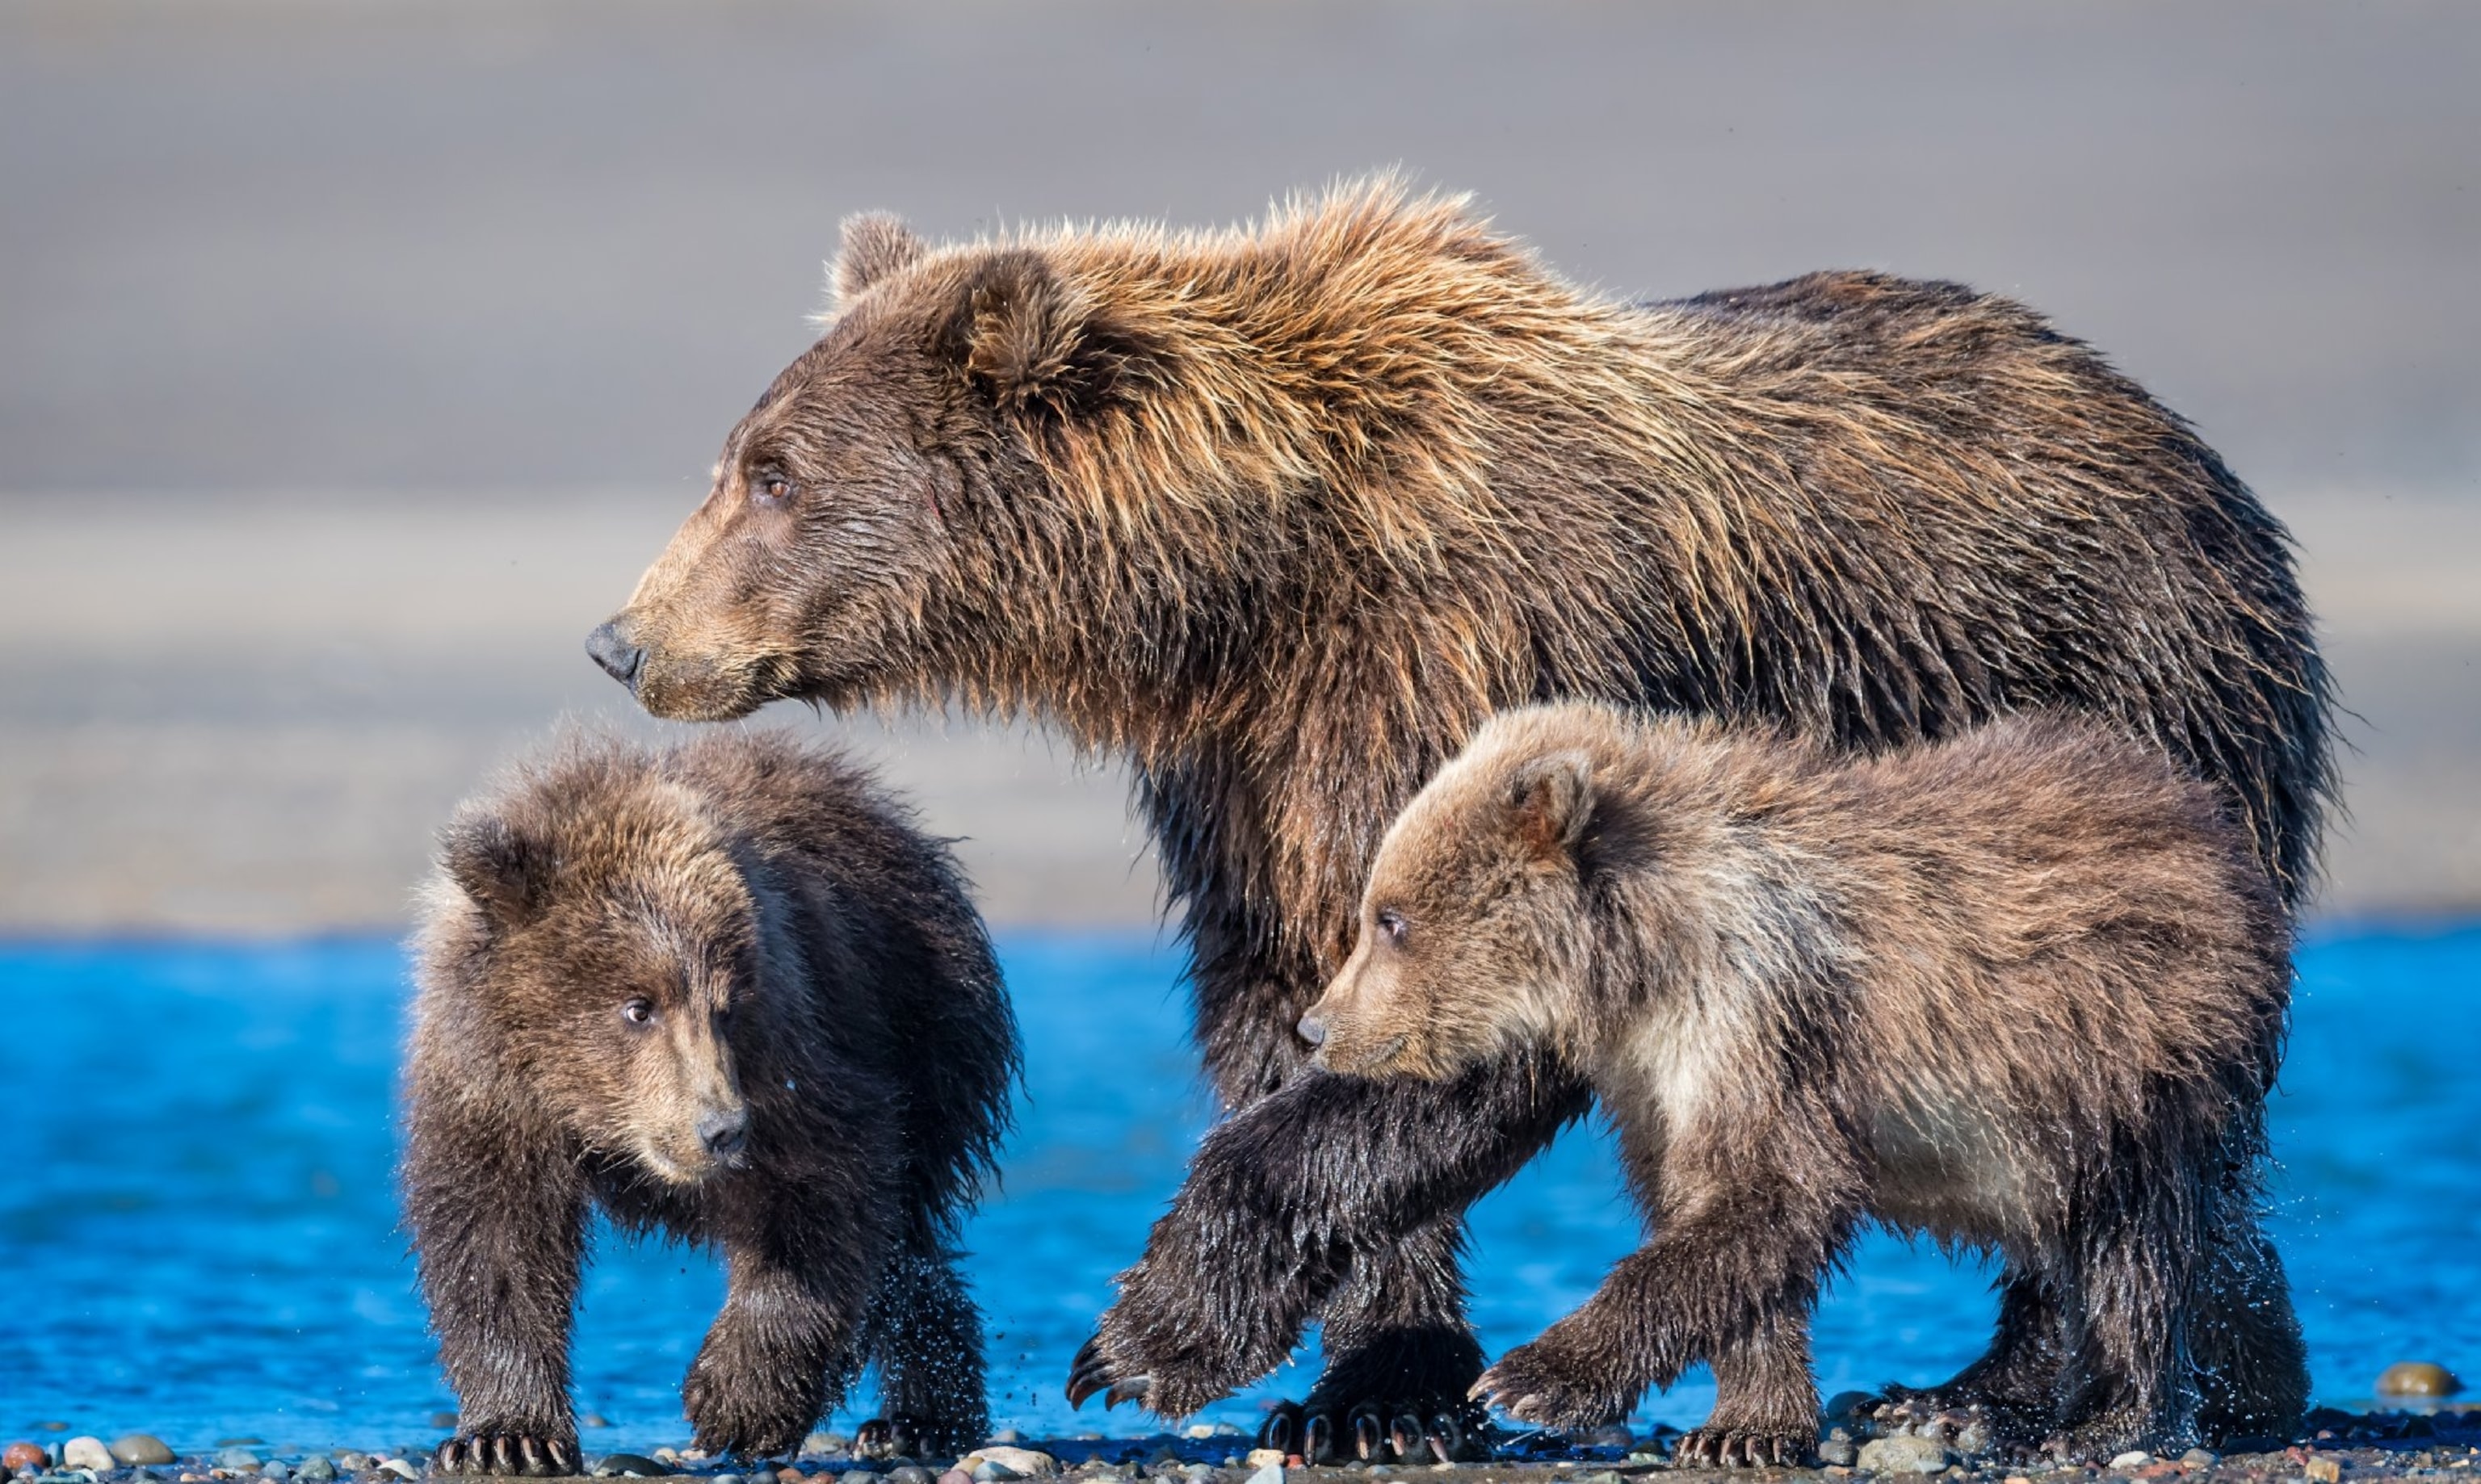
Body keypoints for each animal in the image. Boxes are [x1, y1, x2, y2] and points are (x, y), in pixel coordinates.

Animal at [401, 730, 1018, 1472]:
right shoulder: (491, 1093)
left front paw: (736, 1404)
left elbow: (821, 1199)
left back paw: (919, 1420)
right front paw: (506, 1438)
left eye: (727, 1006)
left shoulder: (795, 1059)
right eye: (638, 1006)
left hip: (926, 1027)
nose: (719, 1129)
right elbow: (496, 1242)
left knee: (904, 1239)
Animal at [1298, 701, 2296, 1465]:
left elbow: (1772, 1193)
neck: (1647, 962)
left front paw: (1527, 1377)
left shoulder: (1762, 1015)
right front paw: (1746, 1425)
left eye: (1391, 918)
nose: (1317, 1027)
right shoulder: (1661, 1074)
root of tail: (2210, 818)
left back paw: (2103, 1419)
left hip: (2125, 1060)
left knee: (2131, 1243)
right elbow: (1721, 1219)